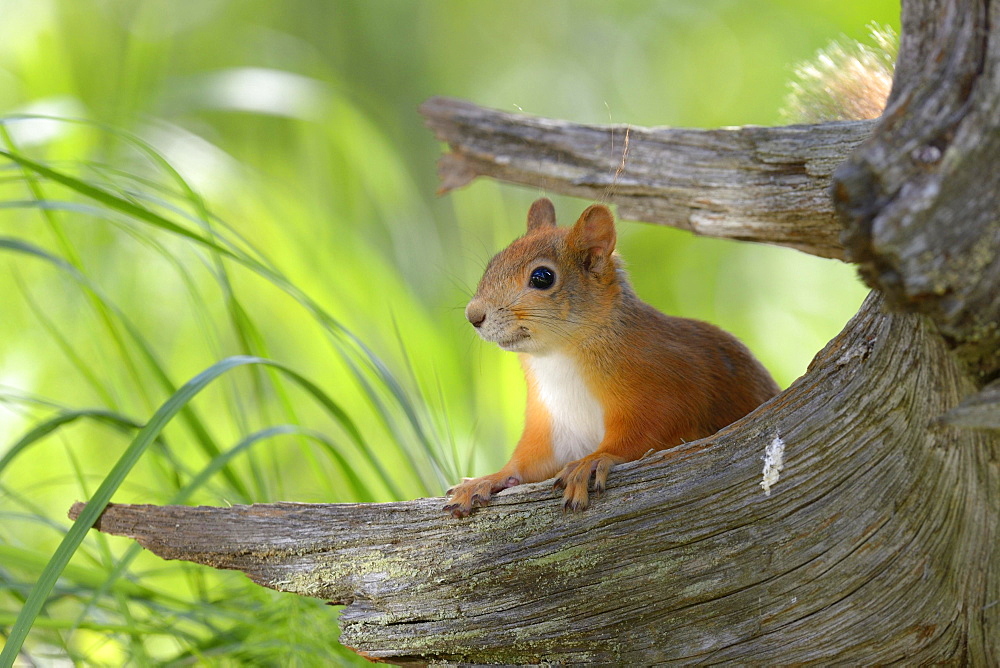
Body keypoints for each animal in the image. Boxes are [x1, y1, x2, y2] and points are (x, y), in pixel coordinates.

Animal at [446, 198, 780, 516]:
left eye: (542, 277)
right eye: (493, 262)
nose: (473, 315)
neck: (557, 359)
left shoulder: (665, 386)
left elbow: (647, 433)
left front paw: (593, 460)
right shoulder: (553, 425)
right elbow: (530, 464)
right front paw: (487, 479)